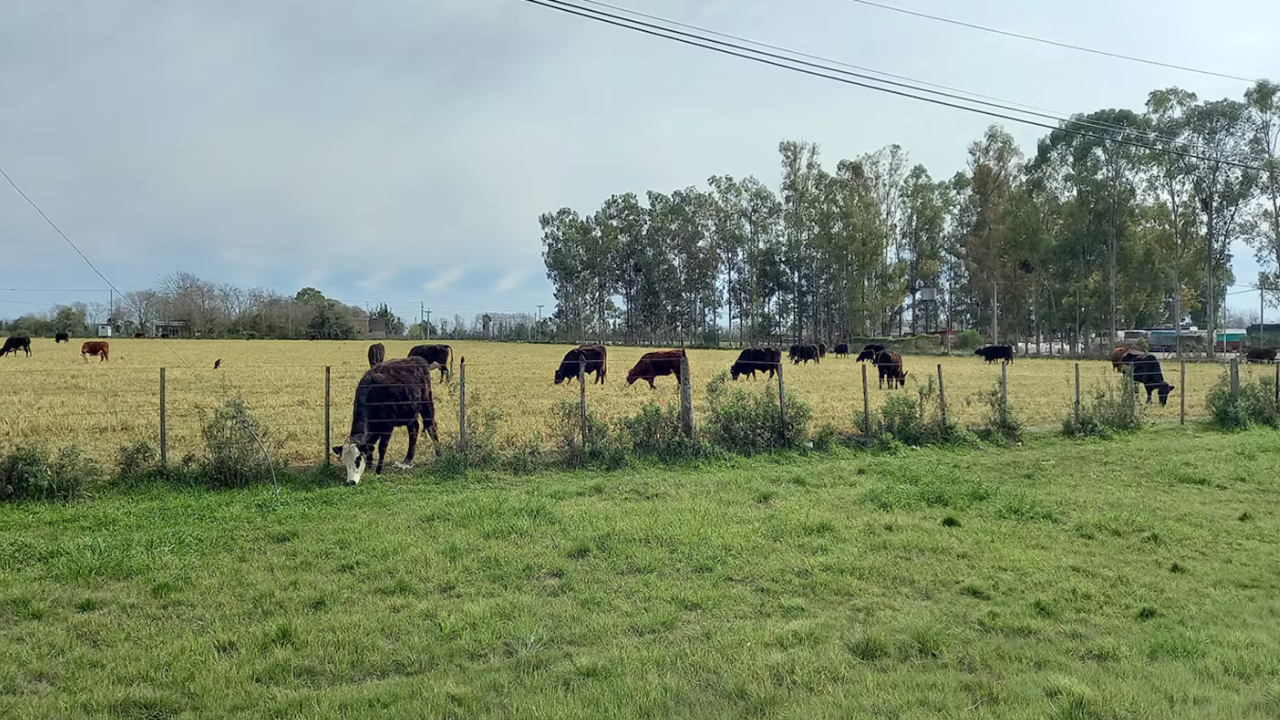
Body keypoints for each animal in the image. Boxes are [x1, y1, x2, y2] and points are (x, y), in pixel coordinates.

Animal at [332, 353, 442, 481]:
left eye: (358, 459)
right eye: (345, 461)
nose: (351, 481)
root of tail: (418, 359)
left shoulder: (387, 425)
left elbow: (382, 447)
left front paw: (378, 470)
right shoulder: (375, 427)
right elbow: (370, 445)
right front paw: (369, 466)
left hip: (427, 403)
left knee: (431, 427)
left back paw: (439, 454)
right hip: (409, 412)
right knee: (414, 429)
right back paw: (408, 459)